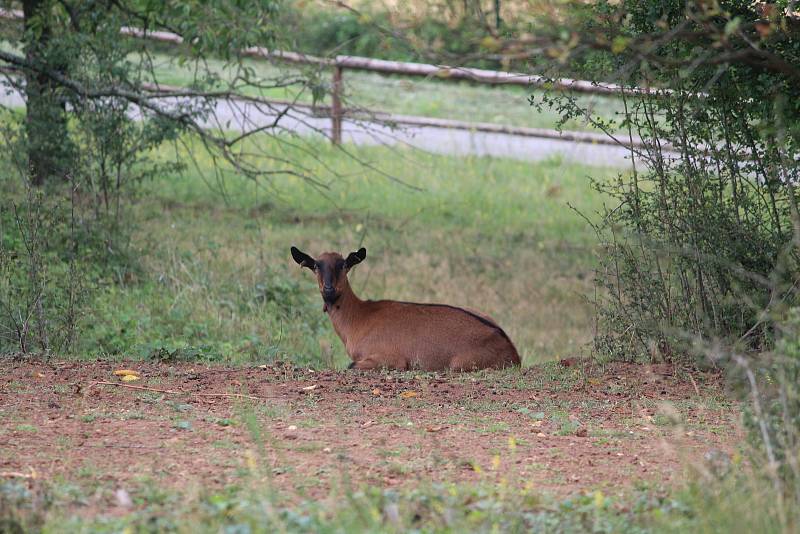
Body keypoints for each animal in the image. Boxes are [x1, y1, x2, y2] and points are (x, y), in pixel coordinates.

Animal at [290, 247, 520, 372]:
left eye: (344, 265)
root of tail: (512, 351)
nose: (329, 290)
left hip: (460, 363)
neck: (359, 317)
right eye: (316, 265)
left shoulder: (391, 359)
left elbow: (350, 366)